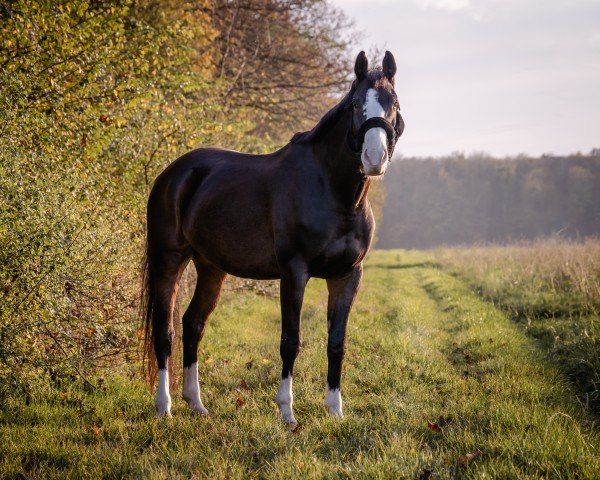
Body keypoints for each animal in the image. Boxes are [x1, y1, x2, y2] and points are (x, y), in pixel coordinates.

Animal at [142, 49, 404, 424]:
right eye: (356, 104)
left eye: (393, 103)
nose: (374, 157)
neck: (333, 192)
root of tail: (173, 173)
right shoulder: (294, 272)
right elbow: (290, 340)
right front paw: (286, 412)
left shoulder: (348, 276)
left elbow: (336, 343)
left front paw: (335, 410)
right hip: (169, 259)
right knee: (165, 332)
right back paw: (164, 407)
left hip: (211, 267)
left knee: (193, 324)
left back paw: (196, 403)